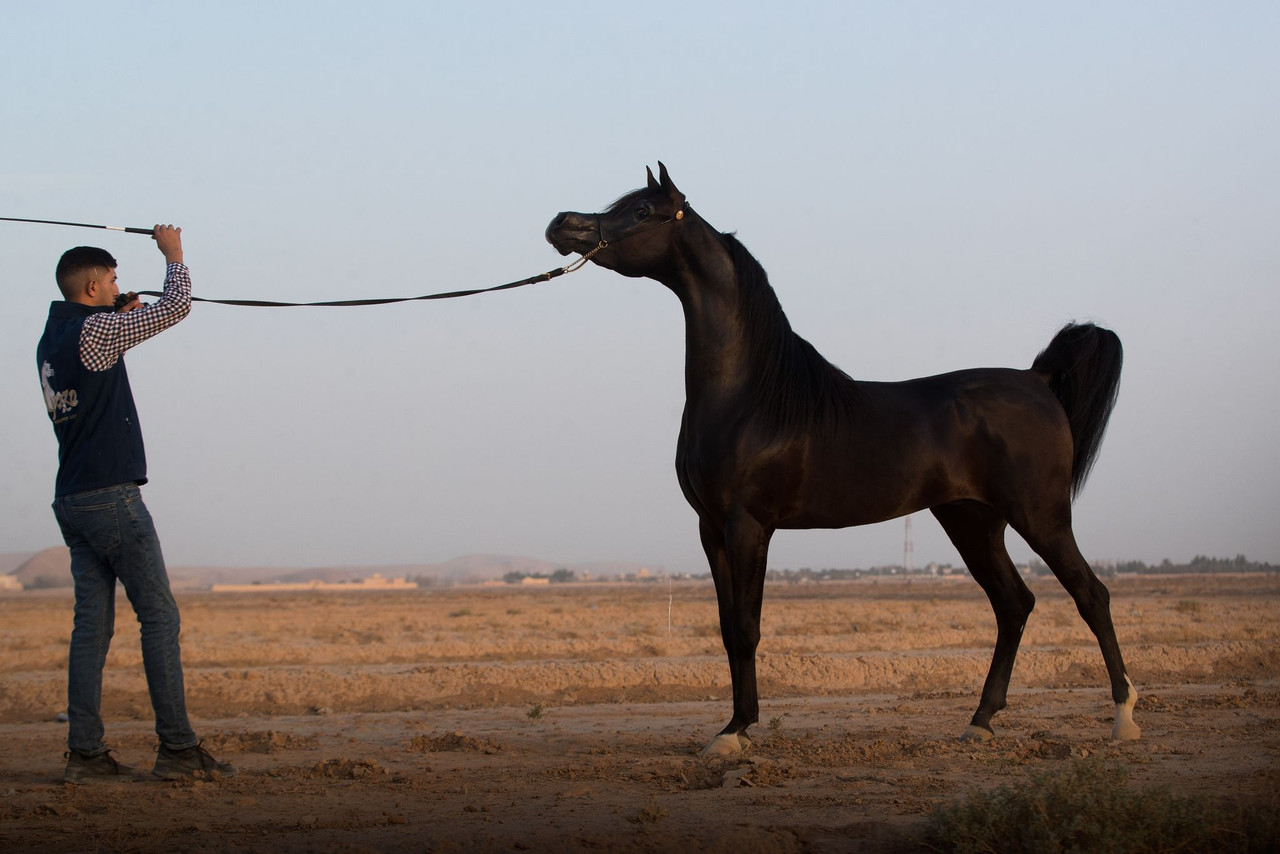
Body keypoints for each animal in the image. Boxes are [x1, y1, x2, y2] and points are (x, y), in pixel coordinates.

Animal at [545, 163, 1140, 756]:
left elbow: (747, 627)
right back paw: (980, 720)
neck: (749, 395)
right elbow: (727, 627)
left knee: (1091, 596)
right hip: (972, 522)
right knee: (1013, 605)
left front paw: (737, 730)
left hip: (1041, 517)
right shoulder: (709, 527)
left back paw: (1124, 717)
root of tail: (1036, 380)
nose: (562, 224)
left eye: (642, 211)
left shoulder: (748, 525)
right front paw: (732, 726)